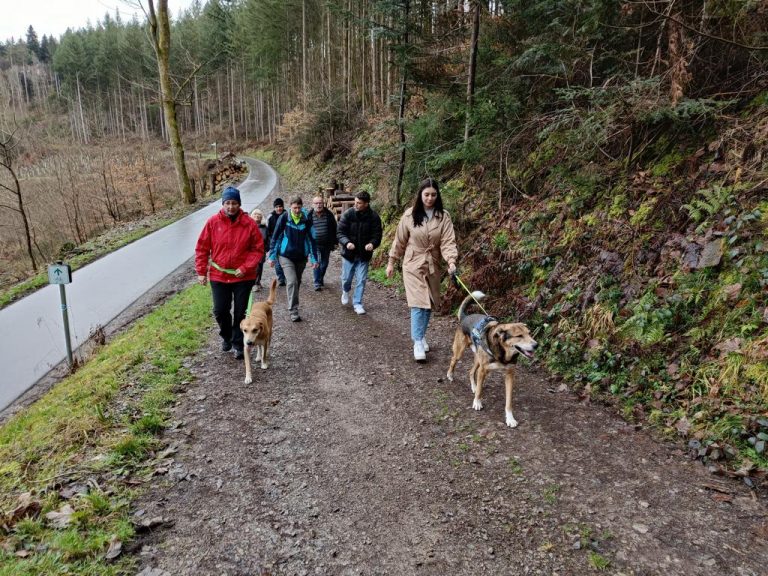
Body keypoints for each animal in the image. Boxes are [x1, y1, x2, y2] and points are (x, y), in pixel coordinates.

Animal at [446, 290, 537, 428]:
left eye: (529, 333)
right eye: (519, 336)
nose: (536, 345)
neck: (503, 353)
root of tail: (465, 316)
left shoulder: (510, 375)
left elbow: (509, 401)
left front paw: (510, 418)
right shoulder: (483, 371)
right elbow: (480, 391)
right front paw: (477, 403)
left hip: (479, 360)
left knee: (471, 371)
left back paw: (473, 386)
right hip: (460, 352)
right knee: (453, 361)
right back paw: (450, 375)